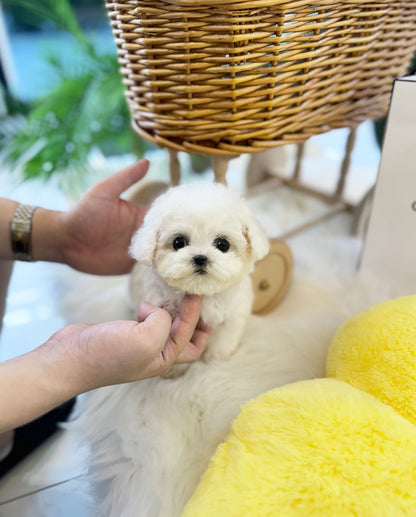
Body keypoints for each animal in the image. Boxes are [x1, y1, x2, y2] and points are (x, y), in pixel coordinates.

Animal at [127, 181, 270, 362]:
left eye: (223, 244)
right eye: (178, 242)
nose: (201, 258)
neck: (203, 293)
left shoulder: (234, 313)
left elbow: (225, 336)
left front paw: (215, 357)